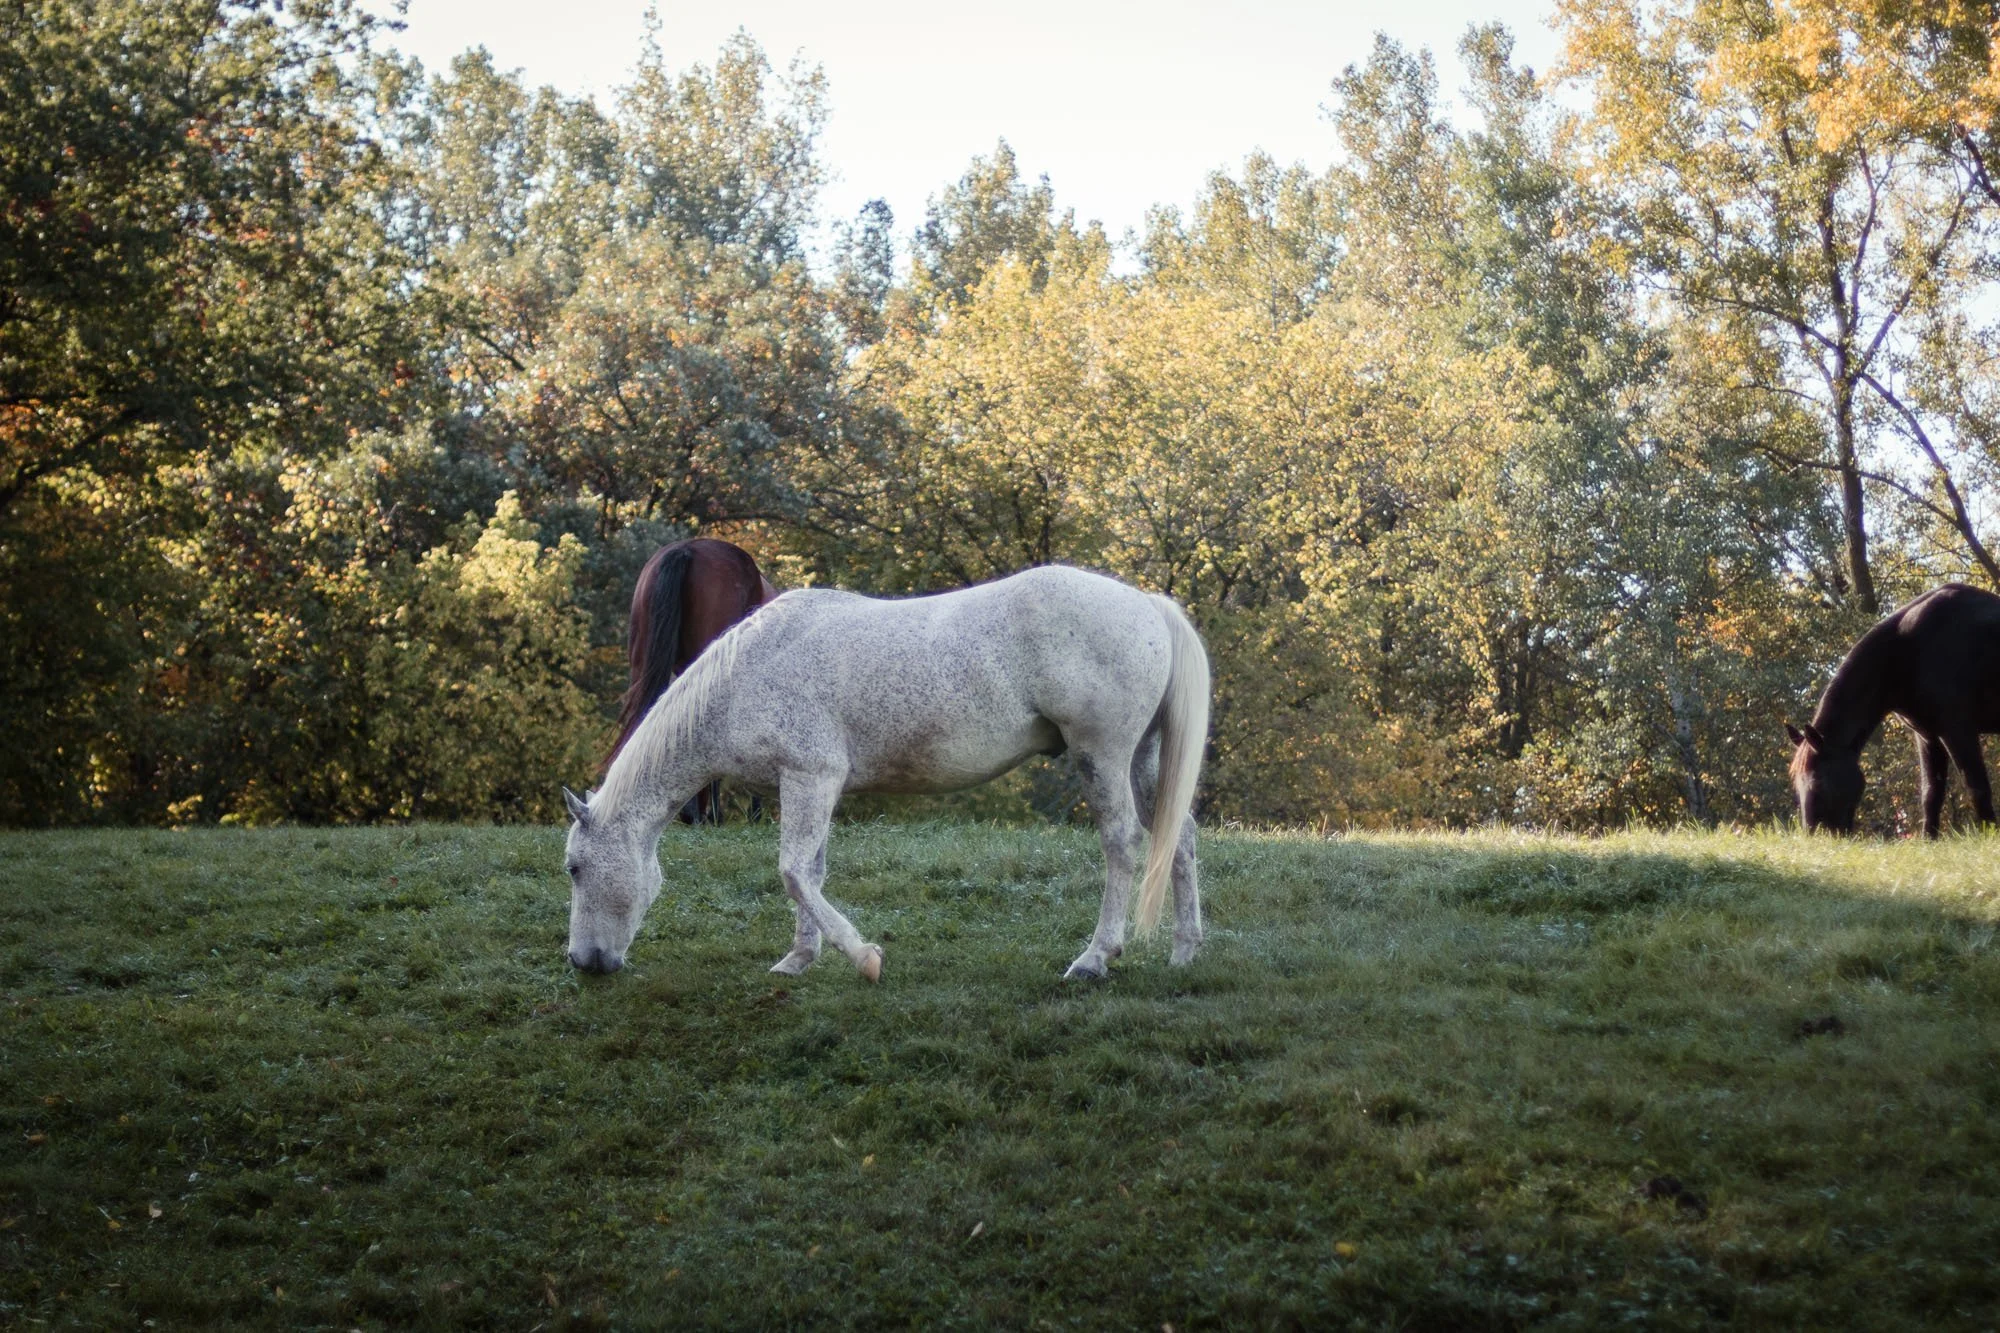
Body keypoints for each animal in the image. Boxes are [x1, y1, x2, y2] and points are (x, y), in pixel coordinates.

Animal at [1787, 583, 2000, 836]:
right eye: (1797, 785)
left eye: (1819, 782)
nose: (1817, 835)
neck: (1908, 649)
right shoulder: (1928, 737)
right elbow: (1931, 792)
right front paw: (1928, 838)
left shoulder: (1958, 731)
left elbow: (1976, 787)